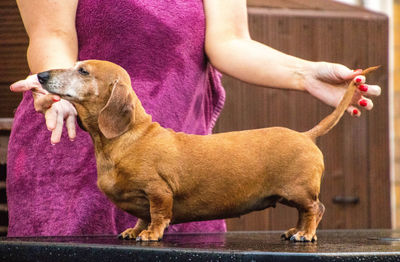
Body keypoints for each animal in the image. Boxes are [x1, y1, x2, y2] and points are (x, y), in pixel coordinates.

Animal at [37, 60, 378, 243]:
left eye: (83, 71)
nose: (40, 76)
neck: (128, 137)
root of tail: (306, 135)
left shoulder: (158, 191)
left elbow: (157, 215)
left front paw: (151, 234)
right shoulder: (141, 200)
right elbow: (141, 217)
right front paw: (134, 231)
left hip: (298, 190)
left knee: (315, 210)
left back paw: (305, 234)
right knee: (304, 212)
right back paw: (295, 229)